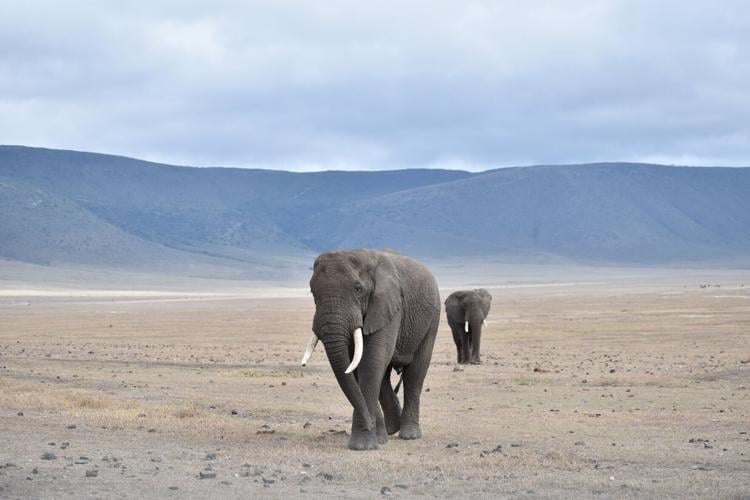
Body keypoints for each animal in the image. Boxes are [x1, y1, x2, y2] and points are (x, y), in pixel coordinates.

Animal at [300, 249, 441, 450]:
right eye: (312, 291)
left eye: (357, 289)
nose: (368, 424)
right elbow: (355, 366)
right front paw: (377, 439)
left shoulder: (388, 306)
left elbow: (371, 360)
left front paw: (362, 446)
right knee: (384, 378)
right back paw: (391, 429)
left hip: (432, 318)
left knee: (415, 373)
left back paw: (409, 435)